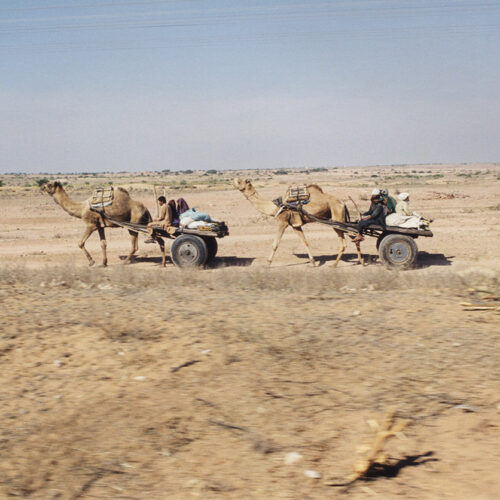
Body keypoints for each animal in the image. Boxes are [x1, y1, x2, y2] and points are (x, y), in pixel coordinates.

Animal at [230, 178, 364, 268]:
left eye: (240, 181)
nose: (233, 179)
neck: (276, 206)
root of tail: (343, 203)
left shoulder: (282, 221)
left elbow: (275, 244)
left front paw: (267, 264)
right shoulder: (295, 225)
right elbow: (305, 242)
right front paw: (313, 262)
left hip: (337, 219)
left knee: (346, 241)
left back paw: (336, 264)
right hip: (340, 220)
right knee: (354, 236)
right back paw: (360, 261)